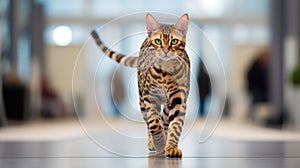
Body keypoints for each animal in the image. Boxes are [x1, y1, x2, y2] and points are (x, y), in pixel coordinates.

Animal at [90, 13, 191, 158]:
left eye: (174, 41)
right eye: (158, 41)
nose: (165, 50)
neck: (165, 70)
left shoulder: (179, 100)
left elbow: (175, 125)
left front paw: (171, 146)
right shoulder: (149, 98)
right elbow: (154, 122)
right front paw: (159, 143)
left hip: (167, 104)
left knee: (164, 119)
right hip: (142, 102)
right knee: (151, 123)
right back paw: (153, 142)